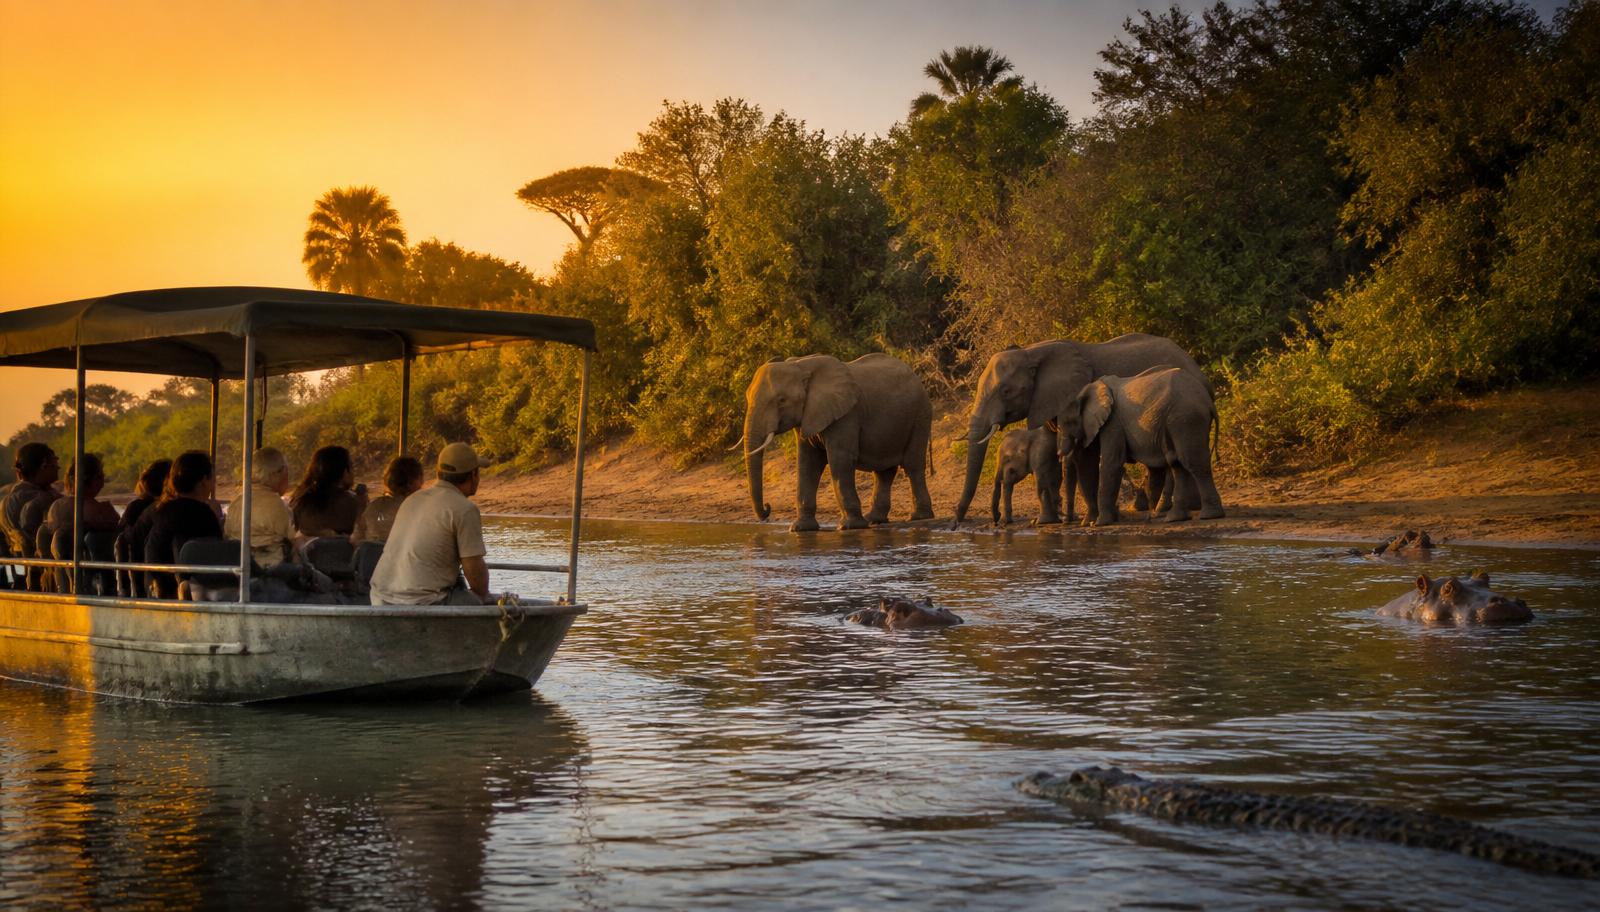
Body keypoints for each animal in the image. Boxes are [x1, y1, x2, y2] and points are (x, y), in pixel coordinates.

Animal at [742, 353, 935, 532]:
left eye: (782, 400)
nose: (767, 508)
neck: (800, 366)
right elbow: (807, 463)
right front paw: (800, 529)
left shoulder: (847, 415)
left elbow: (840, 460)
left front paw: (849, 527)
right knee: (884, 473)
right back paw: (874, 520)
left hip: (921, 414)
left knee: (913, 465)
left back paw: (918, 517)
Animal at [1059, 367, 1223, 525]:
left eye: (1067, 424)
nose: (1066, 522)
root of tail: (1209, 402)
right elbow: (1088, 462)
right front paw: (1095, 522)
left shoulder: (1113, 422)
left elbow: (1111, 463)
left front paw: (1100, 523)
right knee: (1177, 464)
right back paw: (1174, 518)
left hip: (1187, 418)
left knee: (1193, 462)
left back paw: (1209, 515)